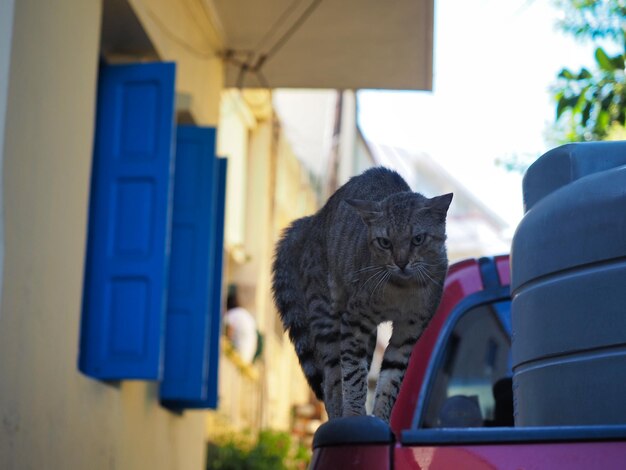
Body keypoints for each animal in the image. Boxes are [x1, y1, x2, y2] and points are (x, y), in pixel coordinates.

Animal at [270, 166, 450, 422]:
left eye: (418, 239)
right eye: (384, 242)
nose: (401, 262)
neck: (401, 290)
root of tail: (312, 219)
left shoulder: (408, 333)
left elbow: (390, 382)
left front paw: (381, 419)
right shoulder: (354, 320)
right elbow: (353, 375)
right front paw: (354, 414)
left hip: (368, 336)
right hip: (325, 316)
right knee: (332, 379)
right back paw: (339, 416)